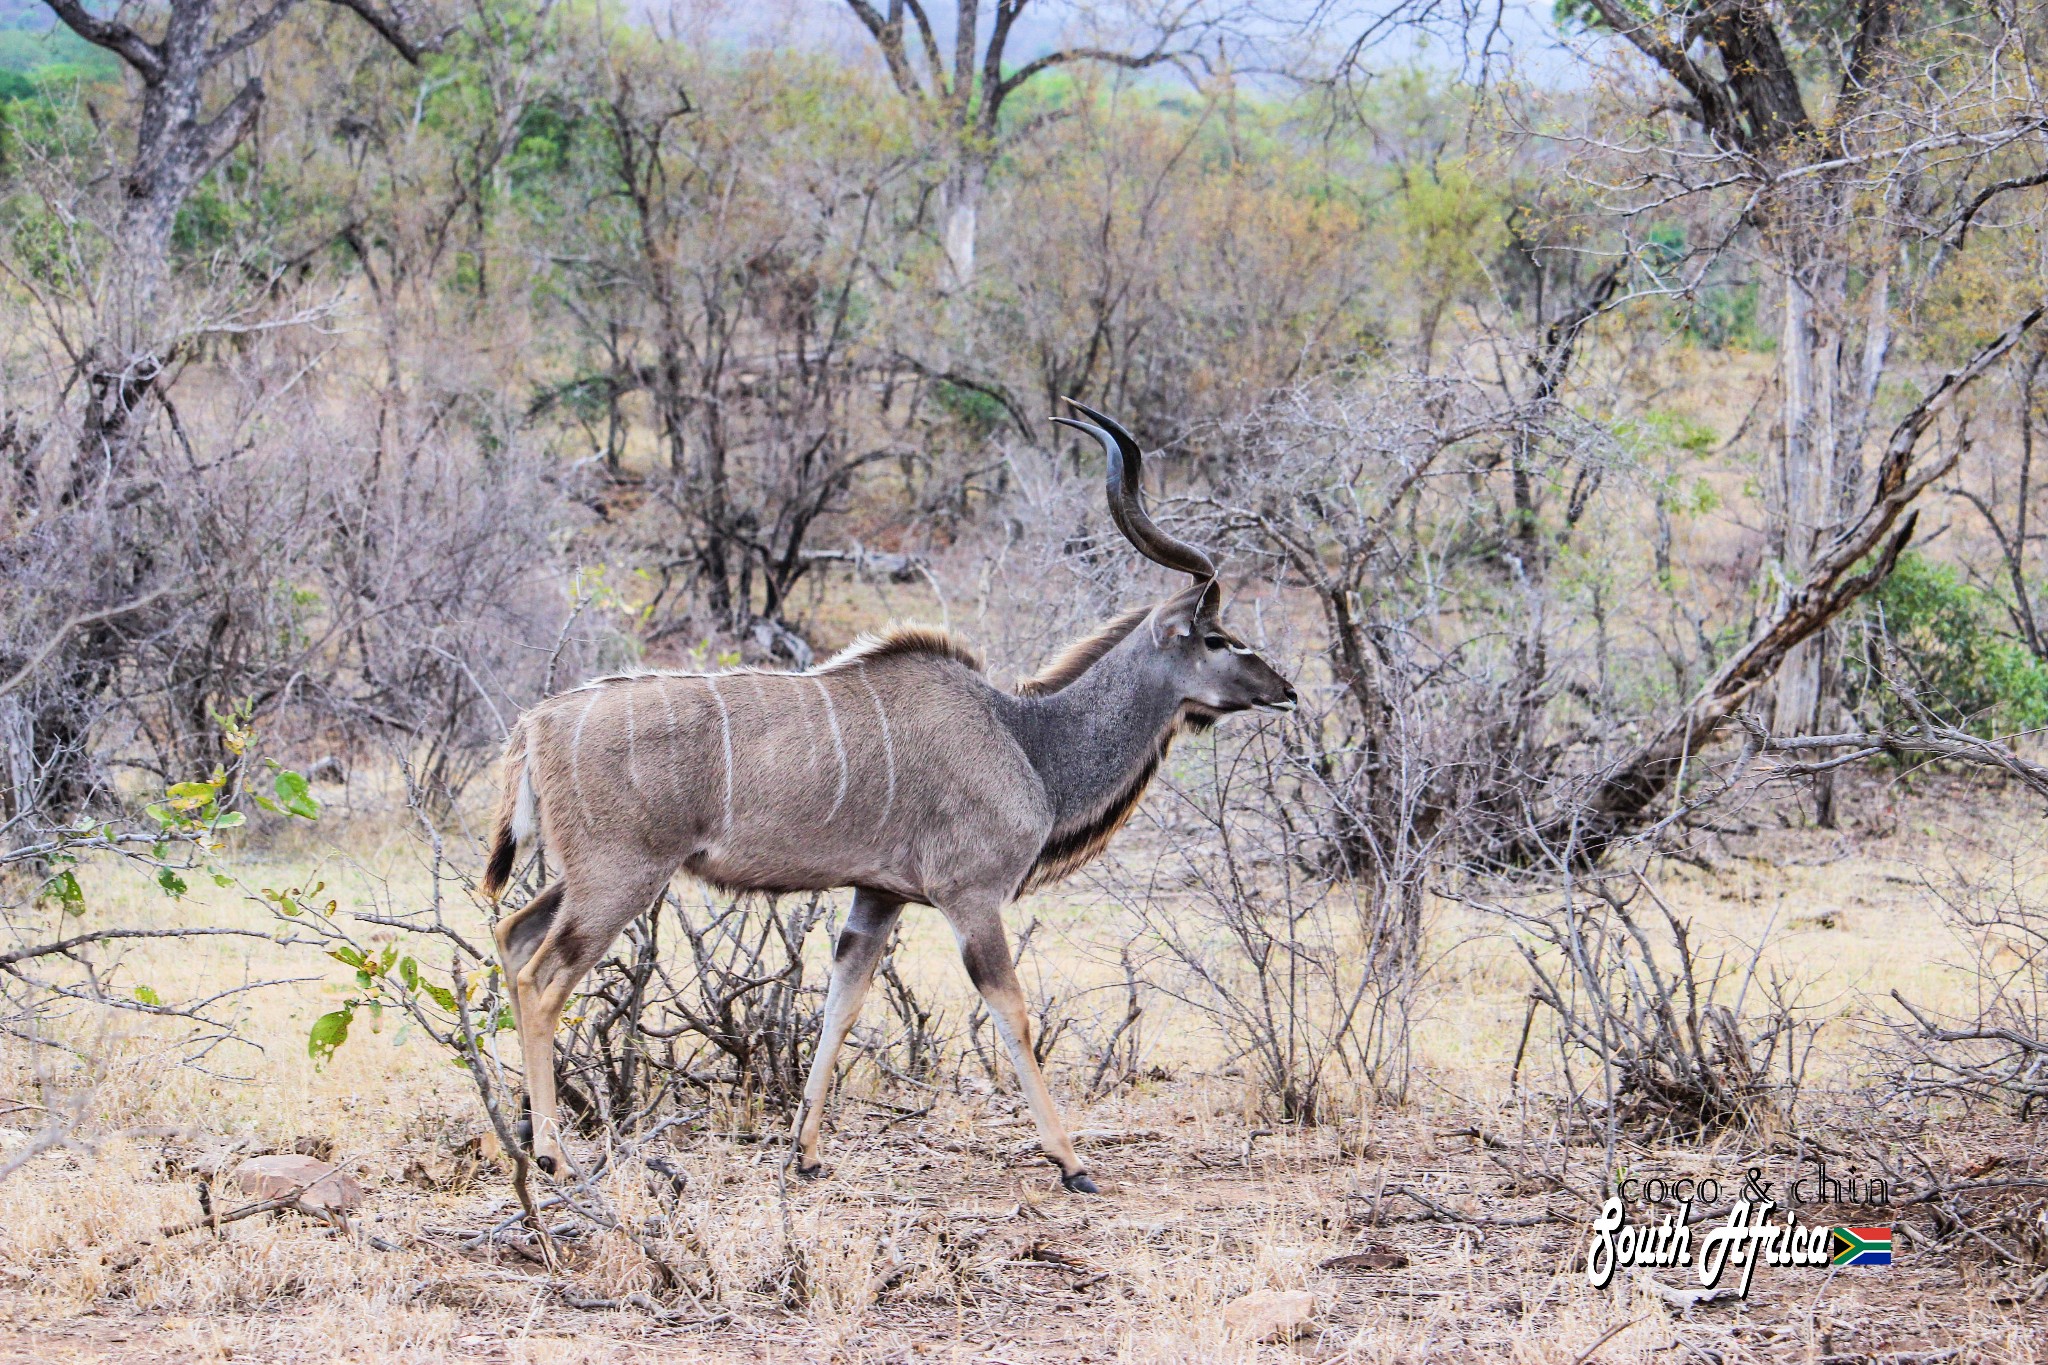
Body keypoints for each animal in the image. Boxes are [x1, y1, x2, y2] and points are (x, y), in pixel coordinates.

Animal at [475, 401, 1294, 1186]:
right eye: (1217, 638)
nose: (1285, 689)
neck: (1024, 737)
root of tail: (538, 722)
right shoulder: (971, 896)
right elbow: (1014, 1013)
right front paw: (1071, 1162)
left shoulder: (878, 896)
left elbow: (841, 1005)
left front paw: (804, 1154)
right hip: (622, 878)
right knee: (544, 981)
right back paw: (553, 1157)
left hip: (584, 876)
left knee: (513, 939)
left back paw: (522, 1137)